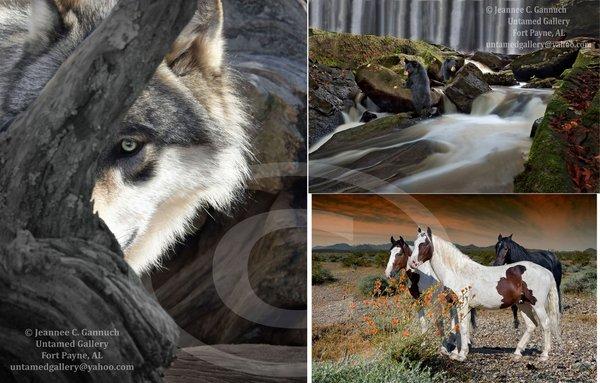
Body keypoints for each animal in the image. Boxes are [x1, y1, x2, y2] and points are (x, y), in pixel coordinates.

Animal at [410, 228, 560, 364]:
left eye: (423, 244)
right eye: (415, 243)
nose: (412, 263)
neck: (457, 272)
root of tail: (546, 271)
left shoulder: (463, 305)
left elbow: (463, 328)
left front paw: (461, 355)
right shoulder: (457, 305)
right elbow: (458, 327)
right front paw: (456, 353)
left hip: (537, 305)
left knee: (545, 324)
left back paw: (544, 355)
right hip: (523, 304)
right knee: (531, 325)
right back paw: (517, 353)